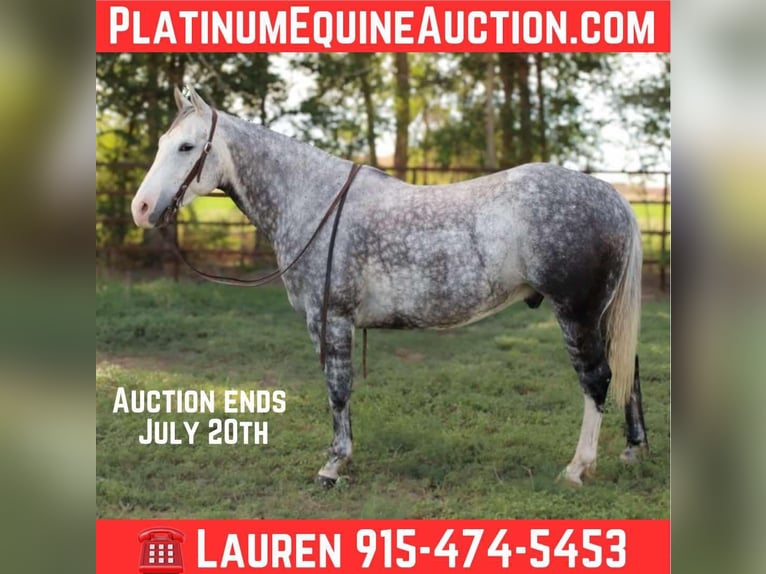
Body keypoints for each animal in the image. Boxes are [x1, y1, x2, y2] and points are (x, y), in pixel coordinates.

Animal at [131, 87, 648, 486]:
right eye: (162, 142)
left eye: (186, 147)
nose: (141, 208)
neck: (313, 201)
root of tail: (613, 197)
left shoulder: (331, 320)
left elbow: (337, 390)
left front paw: (333, 465)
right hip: (601, 315)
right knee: (628, 374)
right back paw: (632, 451)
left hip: (576, 313)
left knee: (597, 380)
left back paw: (578, 469)